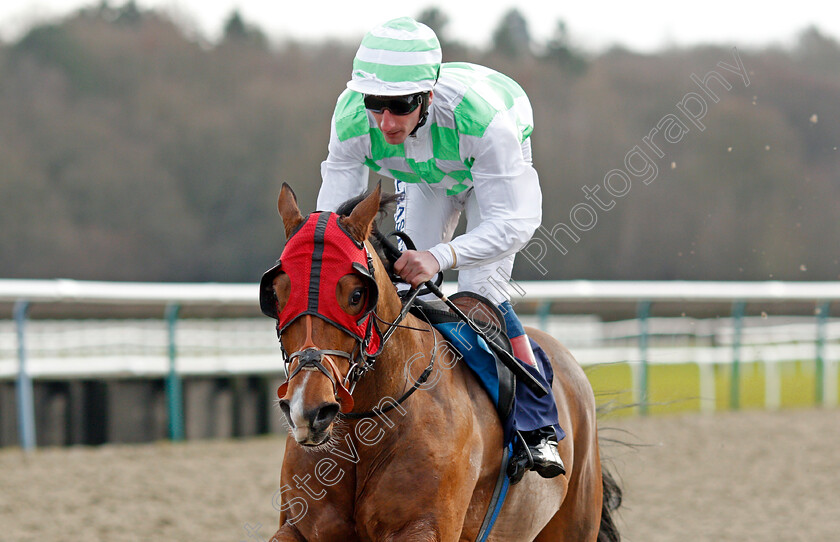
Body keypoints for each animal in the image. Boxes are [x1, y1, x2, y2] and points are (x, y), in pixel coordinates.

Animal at [266, 184, 620, 542]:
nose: (307, 409)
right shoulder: (300, 527)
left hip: (574, 519)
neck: (361, 432)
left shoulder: (424, 528)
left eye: (356, 295)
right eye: (278, 295)